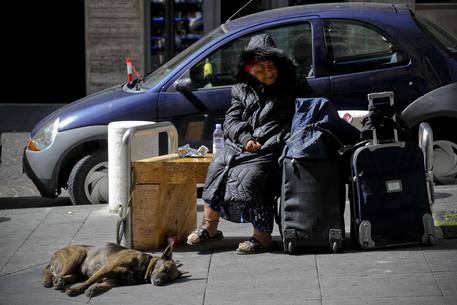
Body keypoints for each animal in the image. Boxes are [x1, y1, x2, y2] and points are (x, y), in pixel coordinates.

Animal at [41, 241, 186, 296]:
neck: (143, 267)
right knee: (55, 274)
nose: (159, 283)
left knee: (62, 276)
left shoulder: (113, 281)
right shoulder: (106, 269)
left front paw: (94, 289)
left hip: (76, 273)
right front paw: (76, 290)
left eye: (169, 279)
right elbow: (88, 282)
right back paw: (58, 282)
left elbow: (104, 285)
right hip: (77, 255)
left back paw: (60, 282)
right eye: (165, 269)